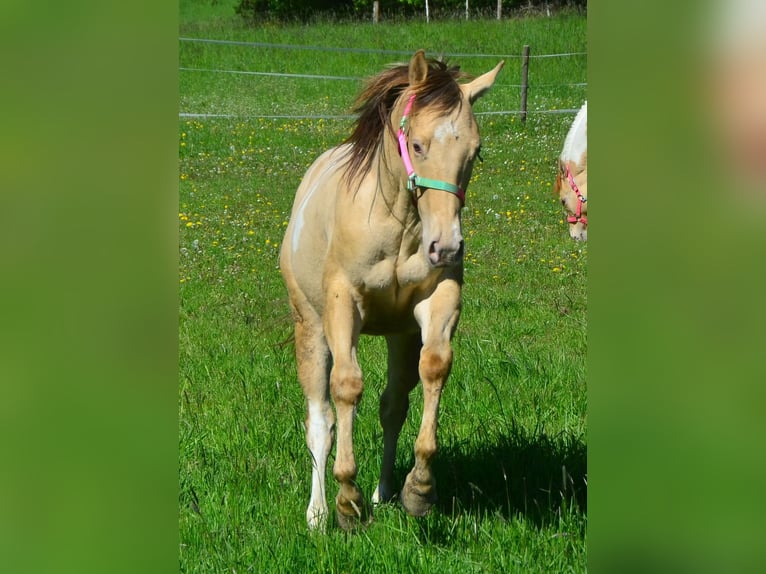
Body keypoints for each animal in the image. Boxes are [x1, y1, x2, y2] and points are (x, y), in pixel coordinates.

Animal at [280, 50, 504, 532]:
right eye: (417, 145)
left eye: (474, 151)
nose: (446, 246)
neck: (397, 221)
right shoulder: (343, 307)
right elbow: (346, 389)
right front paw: (347, 501)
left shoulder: (437, 302)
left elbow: (433, 369)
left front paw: (417, 489)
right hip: (311, 327)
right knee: (320, 419)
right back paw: (318, 513)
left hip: (399, 336)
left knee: (392, 407)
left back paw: (384, 494)